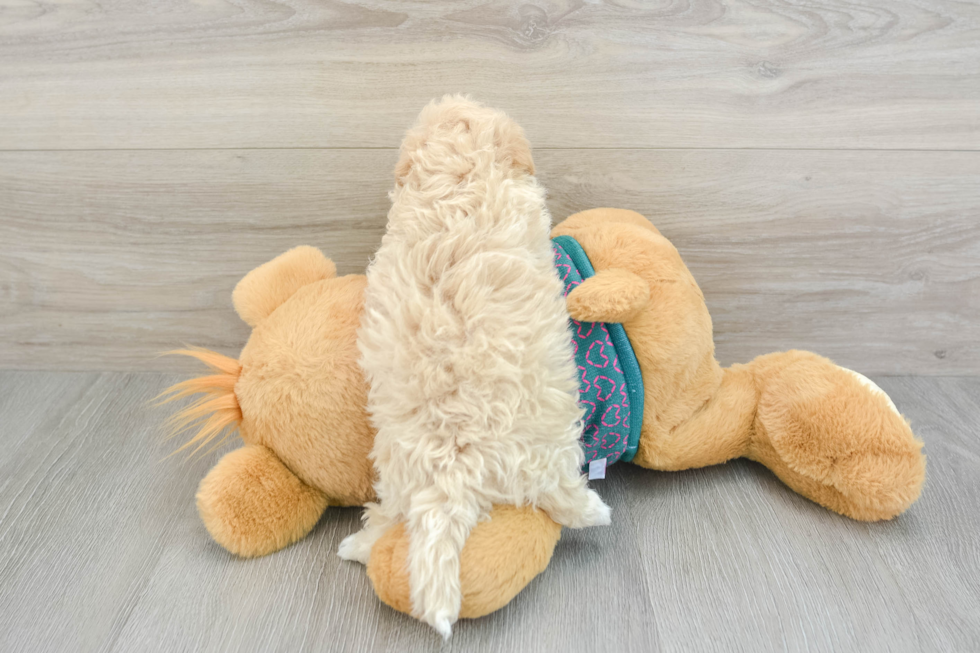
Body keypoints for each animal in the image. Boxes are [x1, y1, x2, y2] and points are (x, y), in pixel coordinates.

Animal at [340, 98, 608, 636]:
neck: (457, 175)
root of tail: (453, 468)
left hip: (398, 472)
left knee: (386, 517)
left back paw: (355, 547)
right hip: (546, 444)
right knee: (560, 494)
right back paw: (596, 511)